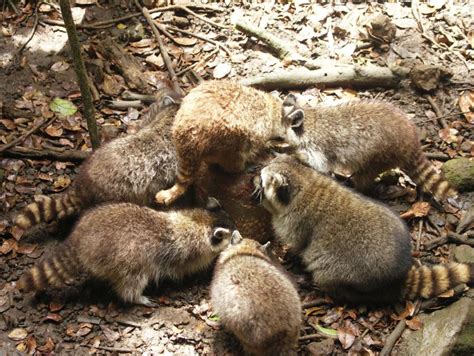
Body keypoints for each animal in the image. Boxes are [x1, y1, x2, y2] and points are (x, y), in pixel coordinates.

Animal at [18, 197, 237, 306]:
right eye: (234, 234)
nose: (241, 235)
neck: (204, 222)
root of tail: (80, 237)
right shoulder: (190, 251)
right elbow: (187, 265)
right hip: (127, 260)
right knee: (132, 281)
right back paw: (136, 298)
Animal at [156, 80, 304, 206]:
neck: (273, 108)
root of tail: (188, 135)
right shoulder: (260, 130)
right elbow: (258, 144)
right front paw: (269, 145)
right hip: (227, 138)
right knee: (235, 155)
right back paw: (240, 168)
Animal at [256, 156, 474, 304]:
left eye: (262, 179)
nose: (254, 177)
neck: (304, 180)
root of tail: (395, 278)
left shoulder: (296, 221)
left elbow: (299, 243)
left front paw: (291, 253)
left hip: (343, 269)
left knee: (327, 273)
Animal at [294, 98, 458, 202]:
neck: (310, 120)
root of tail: (412, 142)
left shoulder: (320, 145)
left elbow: (320, 163)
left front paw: (298, 156)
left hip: (383, 155)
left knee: (364, 176)